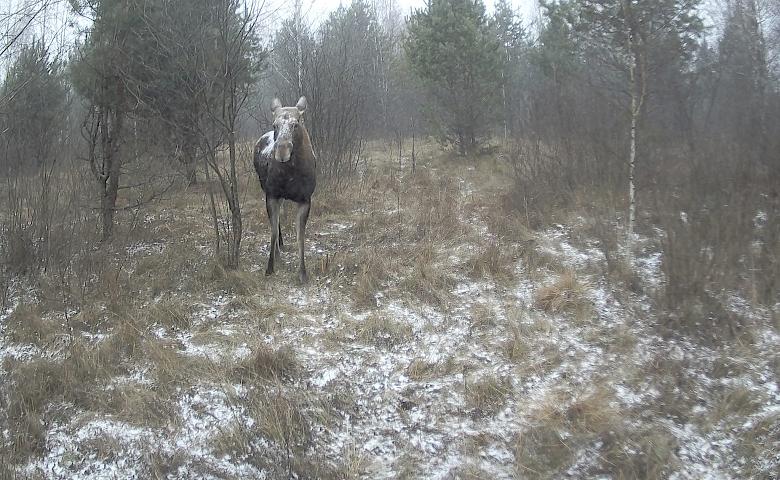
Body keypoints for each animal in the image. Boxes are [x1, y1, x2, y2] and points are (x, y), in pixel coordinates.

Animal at [253, 97, 316, 284]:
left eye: (296, 124)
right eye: (275, 125)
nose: (281, 152)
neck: (291, 173)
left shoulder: (305, 199)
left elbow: (300, 236)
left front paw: (303, 273)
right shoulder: (272, 195)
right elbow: (273, 230)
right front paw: (270, 267)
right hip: (266, 188)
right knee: (276, 222)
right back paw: (278, 252)